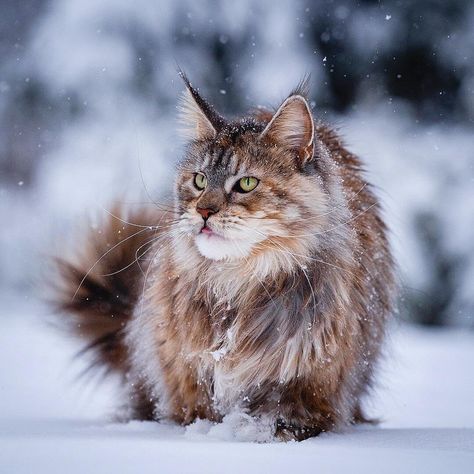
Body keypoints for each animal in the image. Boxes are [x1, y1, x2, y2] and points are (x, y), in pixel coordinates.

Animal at [56, 73, 396, 440]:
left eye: (246, 183)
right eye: (199, 180)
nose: (204, 211)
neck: (236, 281)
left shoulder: (311, 384)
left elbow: (281, 418)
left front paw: (249, 430)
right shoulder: (184, 370)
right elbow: (196, 413)